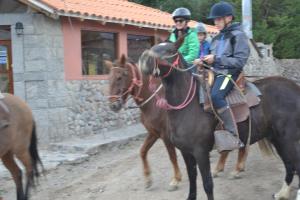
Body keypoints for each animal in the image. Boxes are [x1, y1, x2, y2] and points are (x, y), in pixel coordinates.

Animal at [106, 55, 184, 191]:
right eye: (108, 78)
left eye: (119, 77)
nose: (113, 105)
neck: (154, 101)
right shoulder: (153, 133)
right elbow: (142, 151)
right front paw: (148, 179)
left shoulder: (165, 134)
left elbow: (172, 155)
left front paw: (176, 179)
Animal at [139, 39, 300, 200]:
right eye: (153, 47)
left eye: (170, 50)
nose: (143, 60)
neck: (189, 106)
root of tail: (295, 88)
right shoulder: (186, 152)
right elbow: (192, 179)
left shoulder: (201, 152)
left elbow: (207, 184)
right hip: (277, 139)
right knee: (289, 165)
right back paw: (282, 193)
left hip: (288, 141)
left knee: (295, 165)